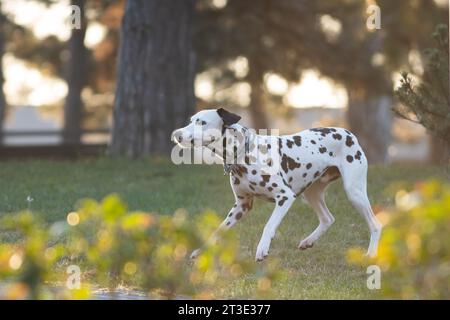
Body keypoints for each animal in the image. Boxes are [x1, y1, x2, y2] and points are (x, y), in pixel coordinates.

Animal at [171, 108, 382, 262]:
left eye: (202, 122)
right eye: (192, 120)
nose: (176, 134)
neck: (245, 153)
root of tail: (349, 133)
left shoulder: (285, 197)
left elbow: (268, 226)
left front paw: (262, 249)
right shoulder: (241, 206)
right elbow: (219, 230)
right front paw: (201, 251)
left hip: (354, 192)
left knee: (375, 225)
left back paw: (371, 254)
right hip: (310, 194)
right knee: (327, 218)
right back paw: (308, 241)